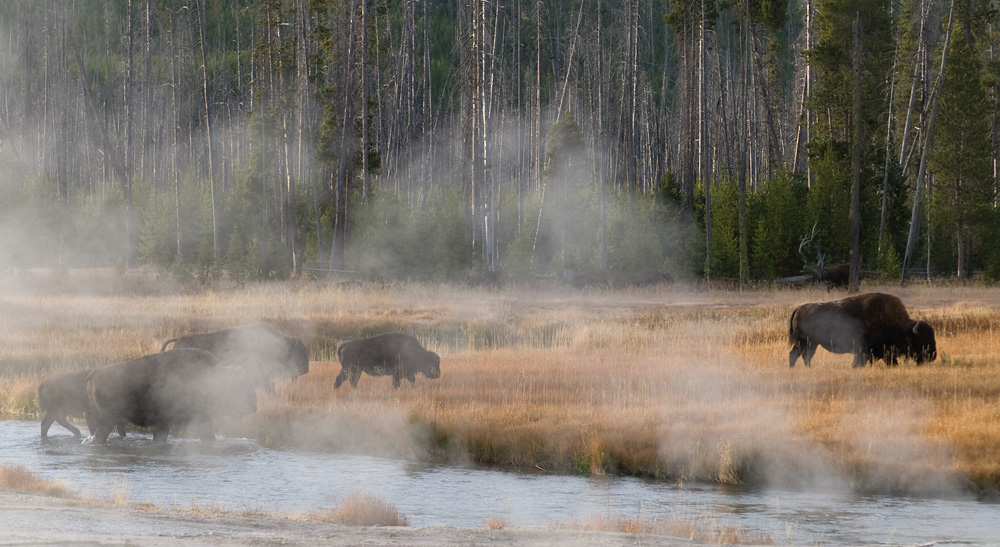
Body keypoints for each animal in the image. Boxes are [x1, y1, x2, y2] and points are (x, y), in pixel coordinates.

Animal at [788, 292, 937, 368]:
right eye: (922, 340)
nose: (933, 356)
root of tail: (799, 309)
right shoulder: (864, 350)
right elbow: (859, 362)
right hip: (804, 342)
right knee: (796, 355)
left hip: (812, 343)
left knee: (804, 356)